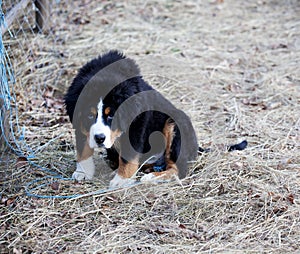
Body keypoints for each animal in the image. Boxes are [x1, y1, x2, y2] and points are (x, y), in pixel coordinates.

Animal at [64, 50, 247, 189]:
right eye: (90, 115)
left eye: (111, 115)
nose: (99, 138)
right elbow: (83, 148)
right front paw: (83, 172)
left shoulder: (137, 124)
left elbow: (128, 155)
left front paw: (121, 180)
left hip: (175, 124)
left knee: (177, 170)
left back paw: (151, 177)